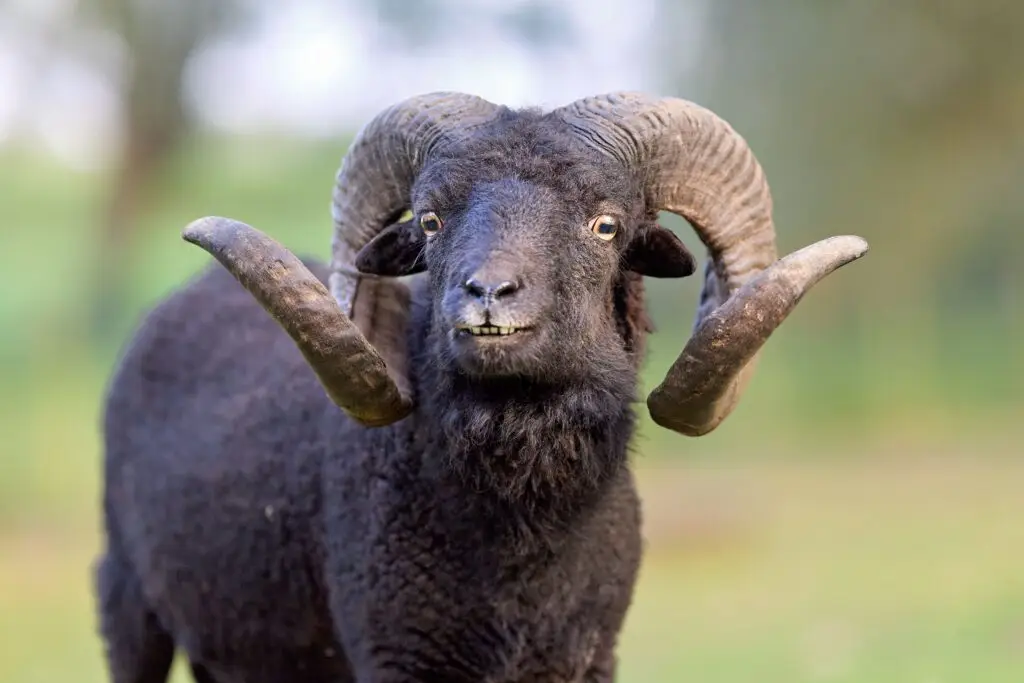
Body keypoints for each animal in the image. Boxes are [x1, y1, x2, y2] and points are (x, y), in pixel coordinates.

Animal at [95, 91, 868, 683]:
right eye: (431, 220)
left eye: (606, 223)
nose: (488, 293)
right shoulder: (398, 657)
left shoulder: (588, 659)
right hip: (127, 604)